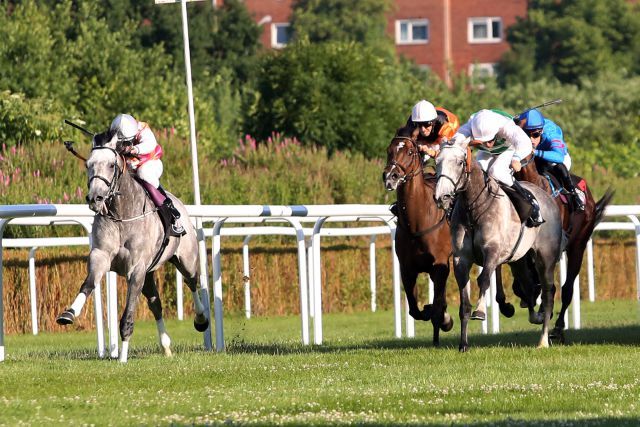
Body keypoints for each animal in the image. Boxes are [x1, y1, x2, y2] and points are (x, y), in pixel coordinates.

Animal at [55, 129, 208, 362]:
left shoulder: (136, 269)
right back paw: (166, 346)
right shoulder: (101, 255)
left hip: (186, 259)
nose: (95, 197)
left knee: (192, 282)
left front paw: (123, 357)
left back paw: (201, 320)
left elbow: (128, 313)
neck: (121, 215)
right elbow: (88, 284)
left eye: (111, 165)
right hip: (150, 272)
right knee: (156, 304)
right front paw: (68, 313)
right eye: (89, 164)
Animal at [382, 125, 452, 346]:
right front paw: (430, 311)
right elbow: (415, 310)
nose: (390, 176)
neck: (417, 222)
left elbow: (437, 306)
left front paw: (444, 320)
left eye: (411, 152)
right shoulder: (407, 268)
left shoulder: (440, 264)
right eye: (389, 150)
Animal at [432, 144, 564, 352]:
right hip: (518, 259)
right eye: (436, 161)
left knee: (548, 293)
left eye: (460, 162)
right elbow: (464, 304)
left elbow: (484, 279)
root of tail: (549, 198)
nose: (442, 196)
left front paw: (480, 311)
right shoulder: (461, 259)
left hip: (546, 258)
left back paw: (543, 340)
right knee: (527, 285)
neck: (474, 210)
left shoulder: (492, 252)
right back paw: (535, 316)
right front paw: (463, 344)